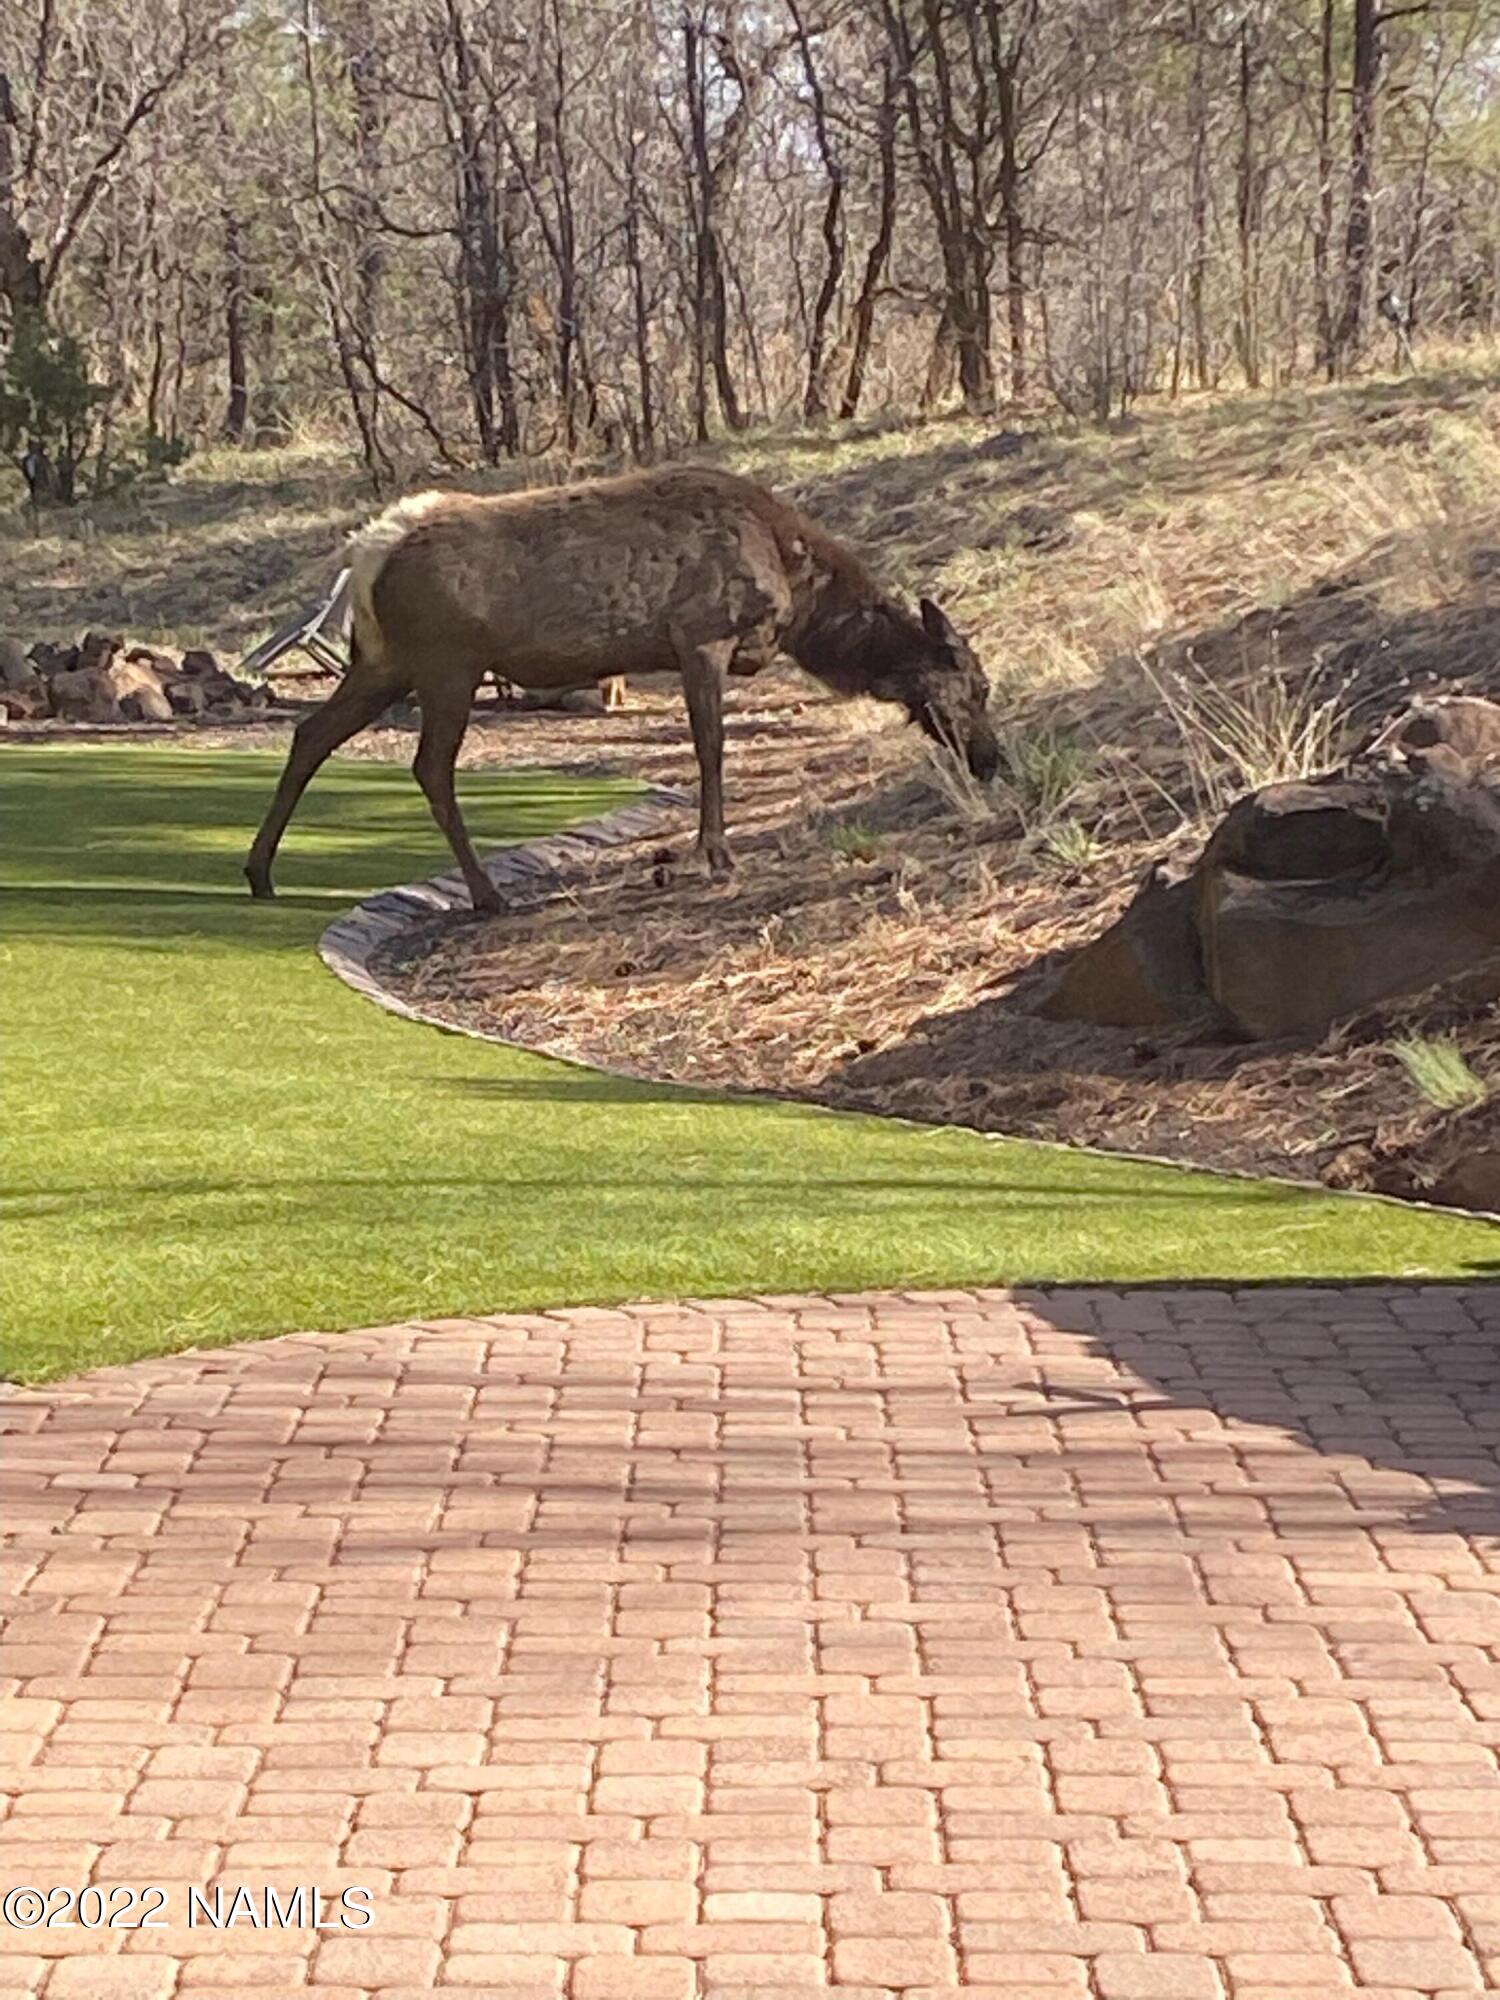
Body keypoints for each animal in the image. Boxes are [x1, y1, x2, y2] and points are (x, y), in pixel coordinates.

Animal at [244, 464, 1000, 913]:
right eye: (977, 685)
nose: (992, 760)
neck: (799, 596)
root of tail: (366, 552)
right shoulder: (701, 635)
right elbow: (709, 748)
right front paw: (714, 854)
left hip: (385, 663)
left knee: (310, 733)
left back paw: (260, 871)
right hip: (445, 662)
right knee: (429, 766)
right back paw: (487, 894)